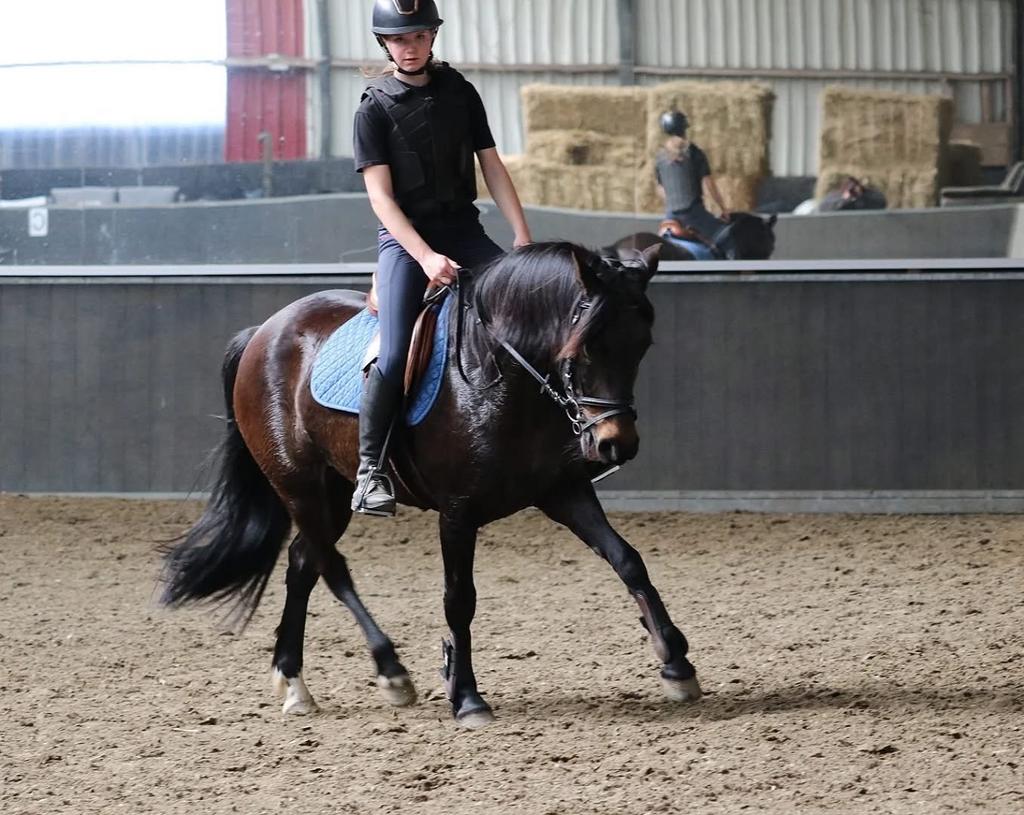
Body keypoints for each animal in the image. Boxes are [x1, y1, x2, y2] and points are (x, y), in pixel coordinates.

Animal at [159, 240, 701, 729]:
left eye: (641, 345)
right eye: (584, 347)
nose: (616, 445)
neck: (502, 375)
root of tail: (264, 332)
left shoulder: (561, 491)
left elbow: (627, 560)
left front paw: (676, 663)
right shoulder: (457, 512)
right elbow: (459, 599)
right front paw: (467, 697)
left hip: (332, 493)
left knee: (301, 563)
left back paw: (294, 681)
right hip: (299, 486)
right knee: (331, 567)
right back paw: (389, 670)